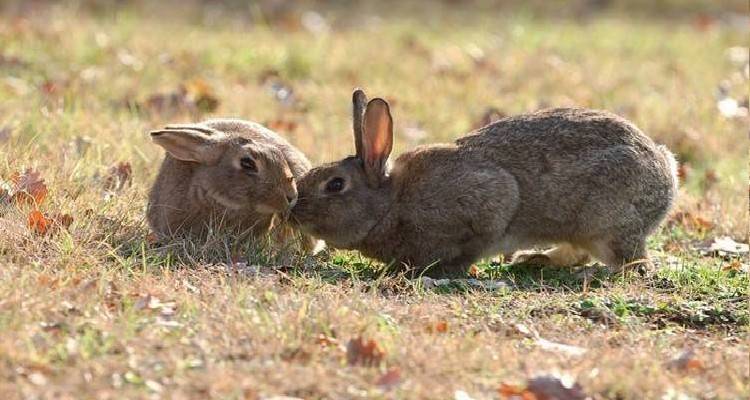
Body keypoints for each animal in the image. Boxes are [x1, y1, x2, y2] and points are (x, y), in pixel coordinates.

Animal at [292, 90, 680, 278]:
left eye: (335, 185)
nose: (293, 211)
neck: (391, 203)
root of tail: (666, 173)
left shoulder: (488, 201)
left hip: (606, 223)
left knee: (633, 262)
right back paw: (534, 259)